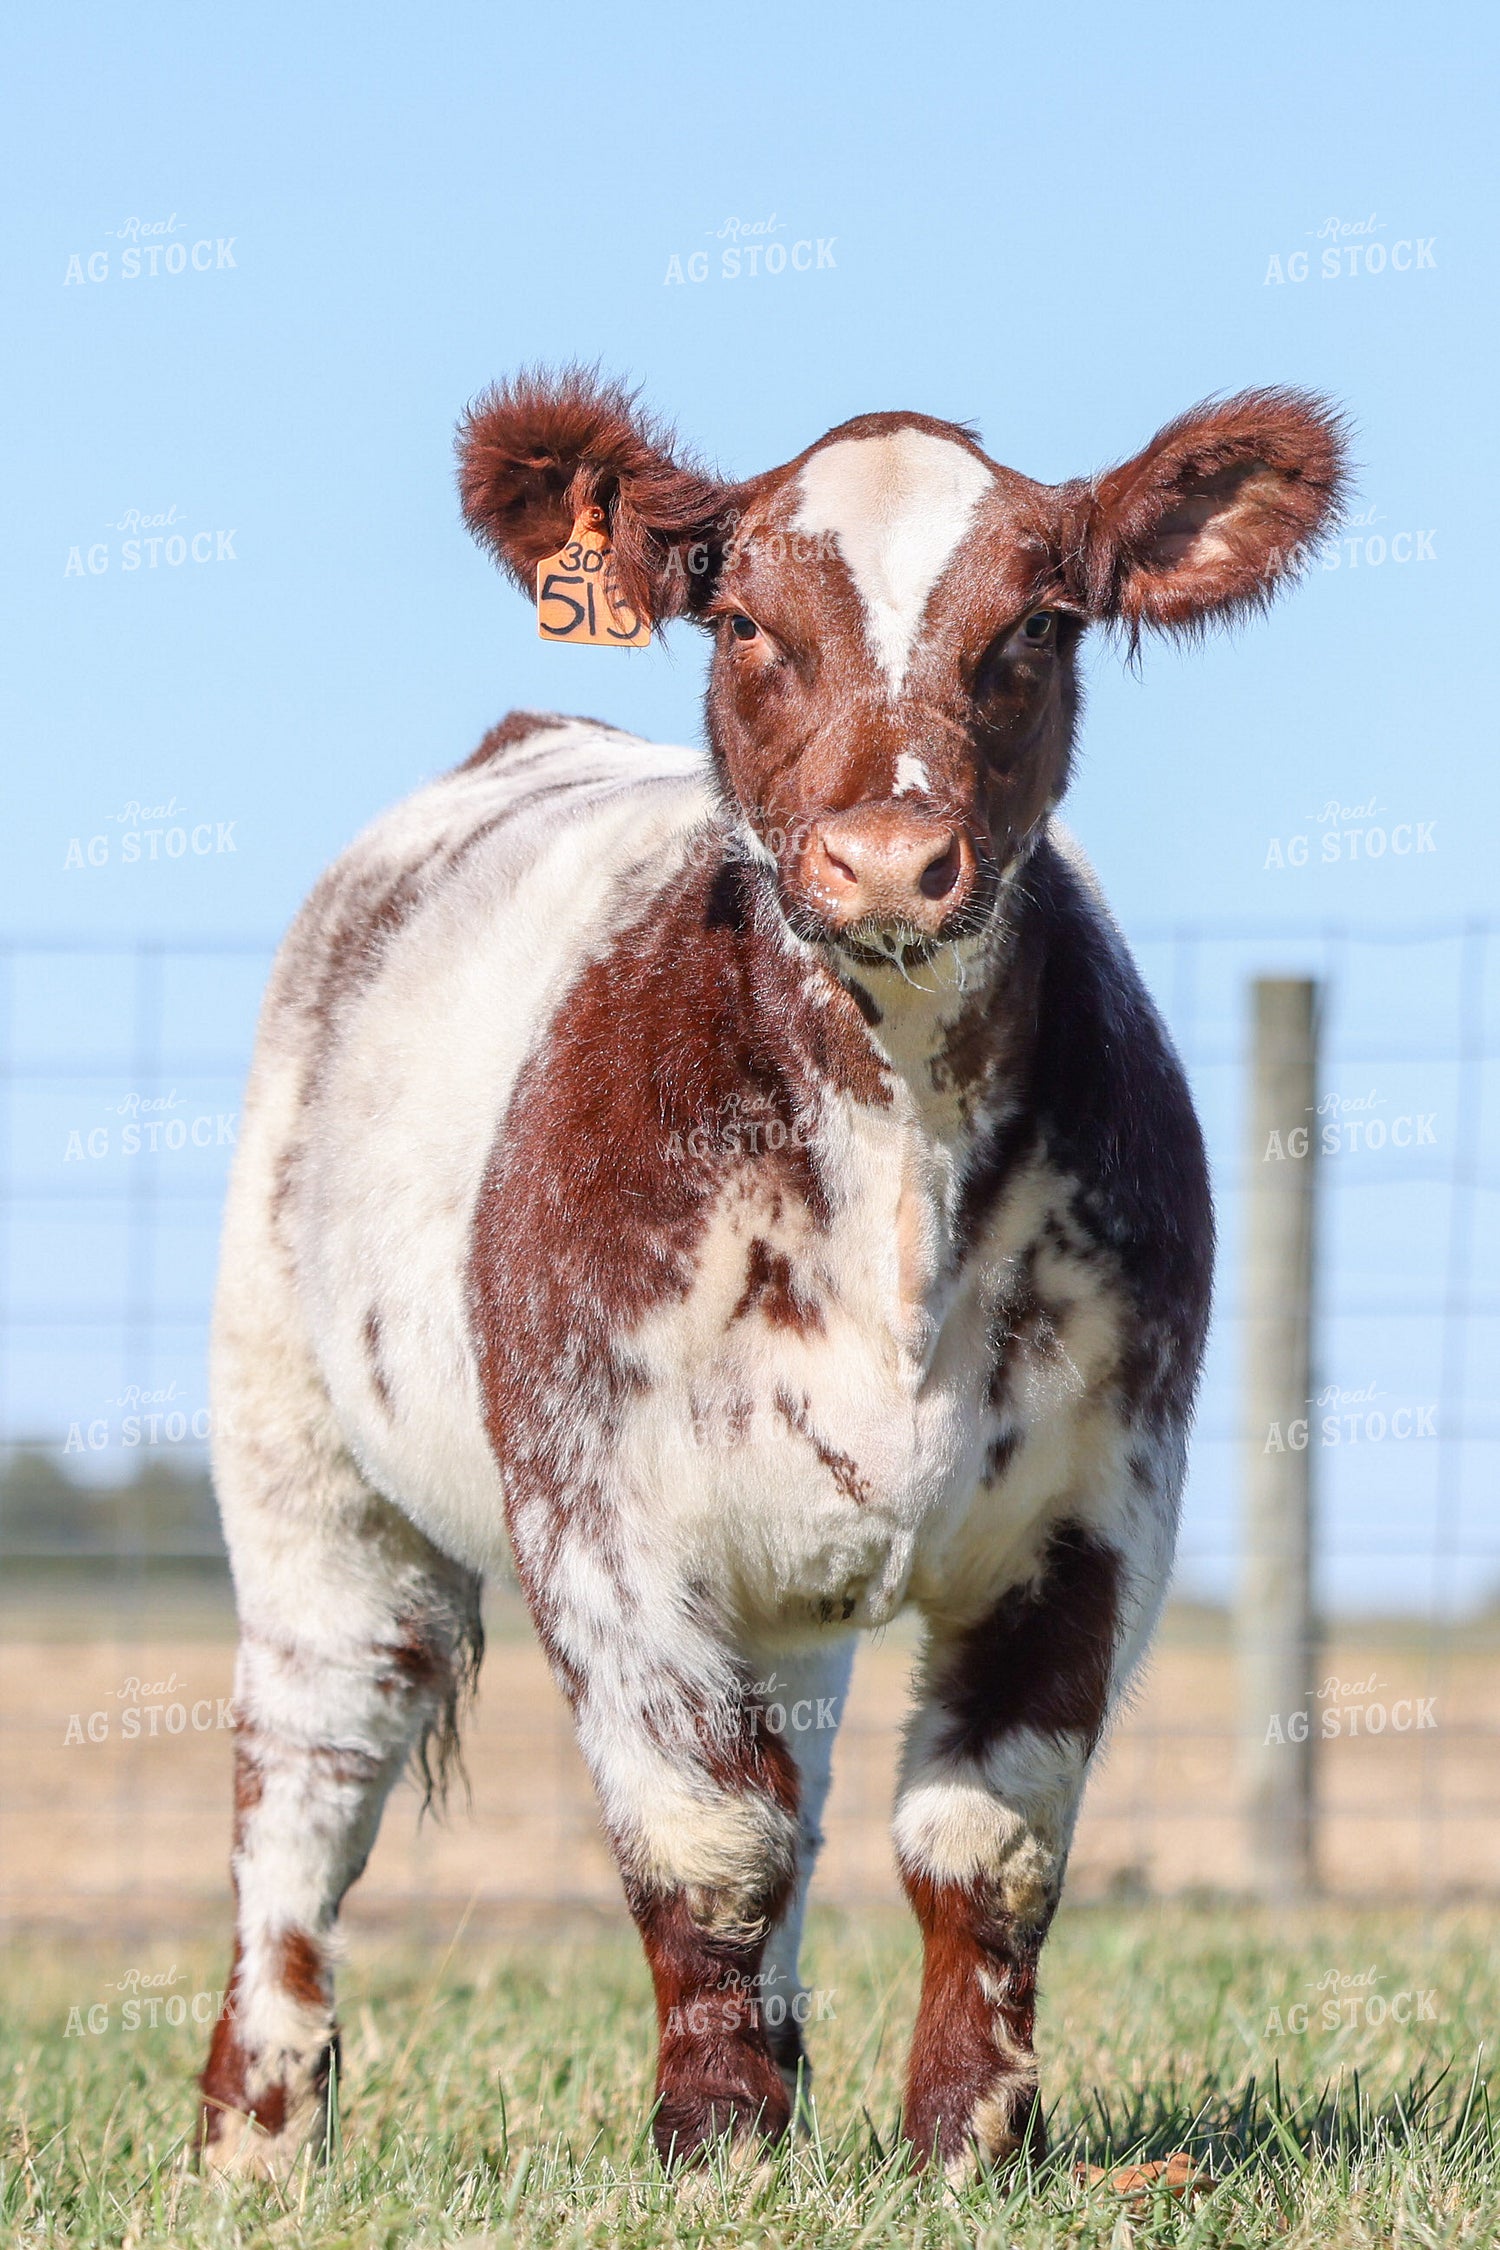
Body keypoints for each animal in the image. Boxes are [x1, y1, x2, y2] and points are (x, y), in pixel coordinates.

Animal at [198, 369, 1344, 2180]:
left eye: (1037, 621)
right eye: (742, 618)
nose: (886, 858)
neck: (893, 1140)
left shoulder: (1104, 1504)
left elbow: (984, 1840)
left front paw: (965, 2140)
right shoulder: (602, 1508)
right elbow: (700, 1835)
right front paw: (716, 2140)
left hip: (785, 1581)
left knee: (791, 1780)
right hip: (301, 1448)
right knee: (312, 1763)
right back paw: (258, 2129)